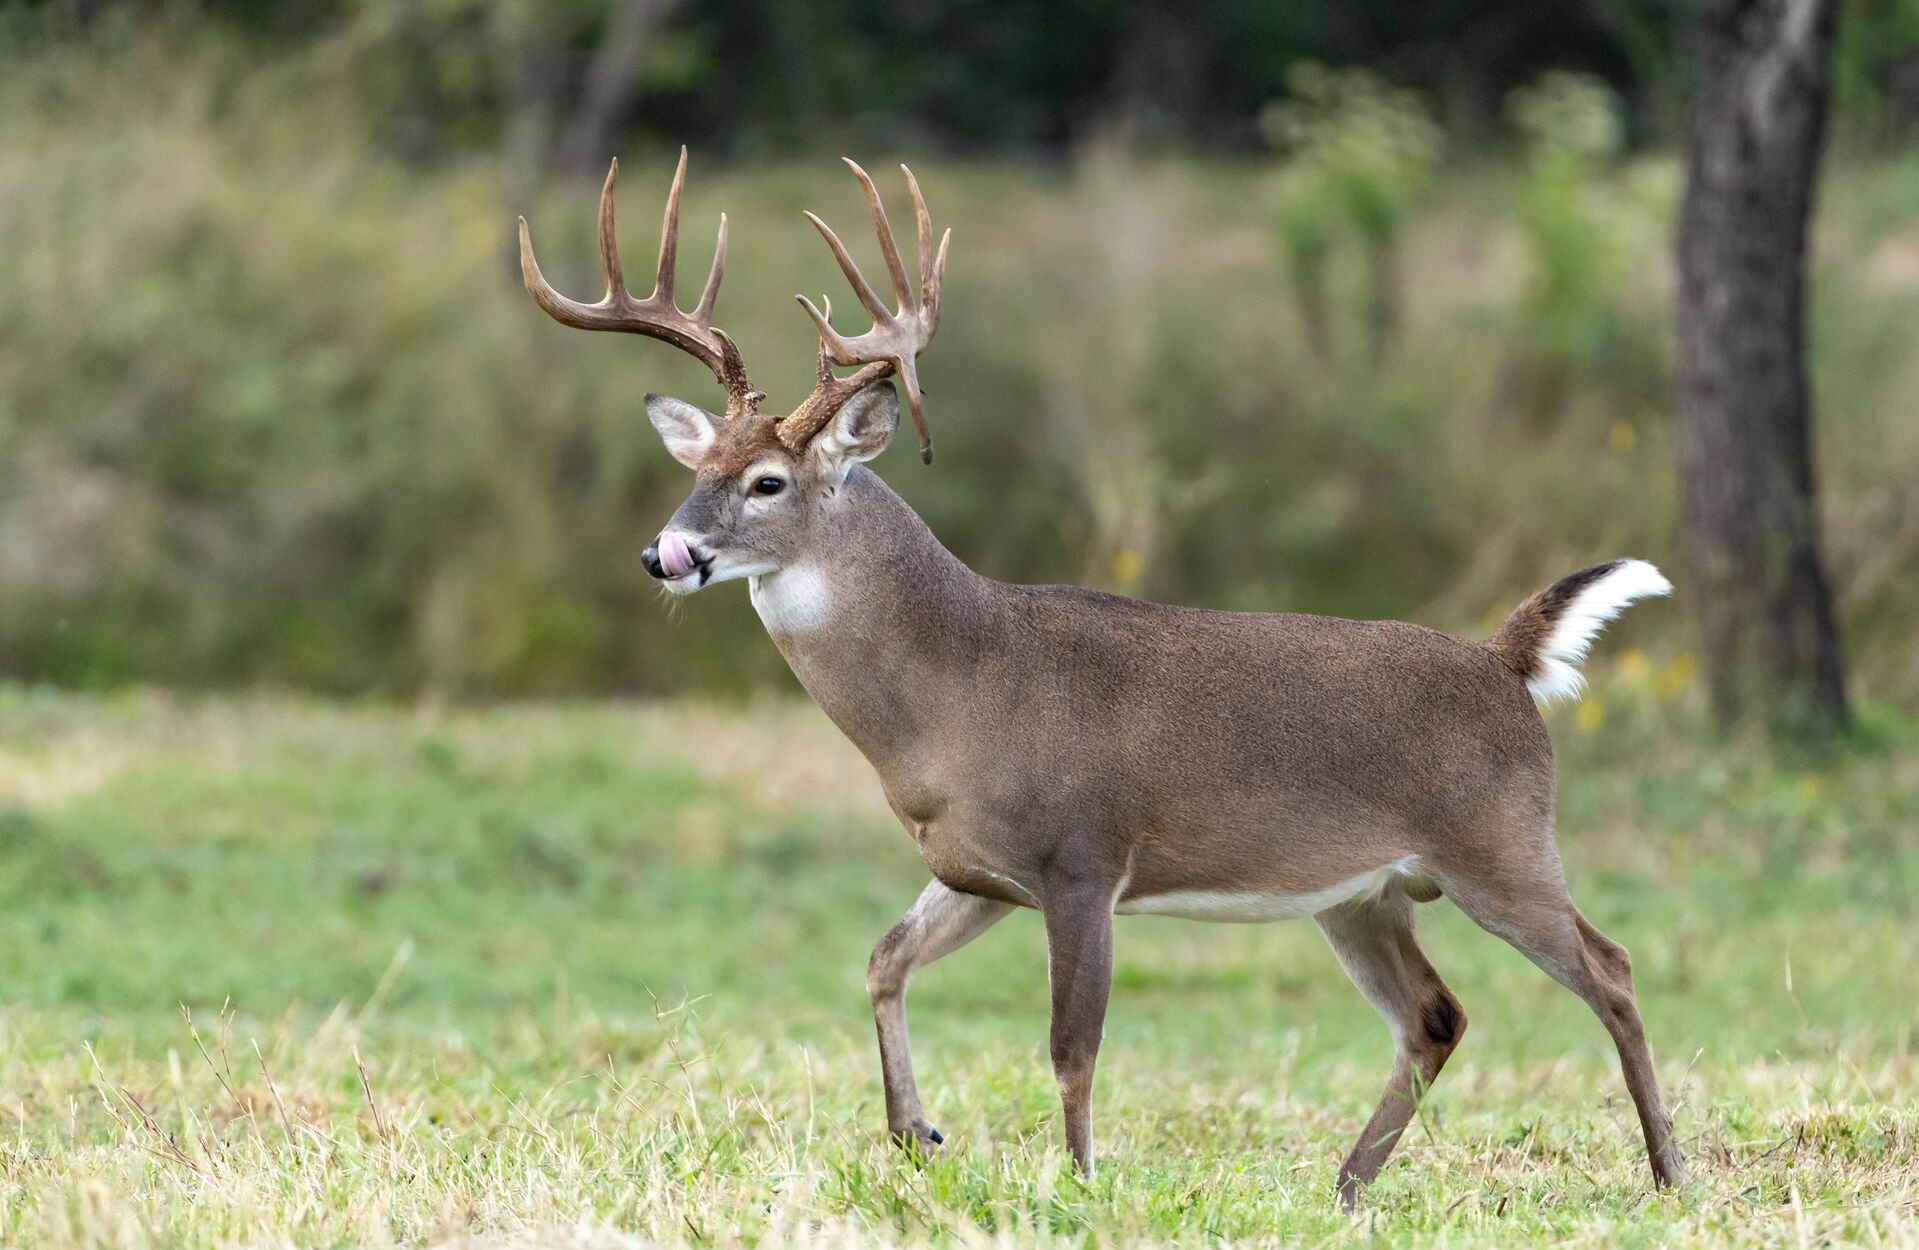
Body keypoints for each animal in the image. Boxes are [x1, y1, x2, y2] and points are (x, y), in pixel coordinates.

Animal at [518, 151, 1688, 1205]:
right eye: (694, 469)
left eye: (765, 481)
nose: (663, 553)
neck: (958, 691)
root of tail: (1504, 661)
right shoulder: (975, 868)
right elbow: (883, 957)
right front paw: (914, 1133)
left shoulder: (1084, 855)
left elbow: (1069, 1042)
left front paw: (1077, 1181)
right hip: (1365, 892)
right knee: (1434, 1014)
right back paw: (1346, 1186)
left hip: (1499, 841)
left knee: (1610, 967)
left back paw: (1667, 1170)